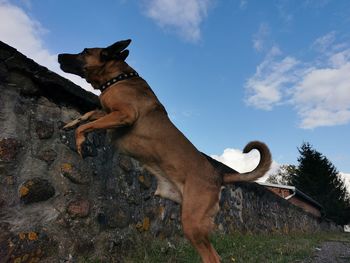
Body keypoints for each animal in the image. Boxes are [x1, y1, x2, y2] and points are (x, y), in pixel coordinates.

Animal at [57, 39, 272, 263]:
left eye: (85, 51)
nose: (58, 56)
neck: (119, 78)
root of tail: (219, 176)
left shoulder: (124, 114)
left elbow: (87, 125)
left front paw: (80, 141)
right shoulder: (108, 113)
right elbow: (89, 115)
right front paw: (72, 123)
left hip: (192, 223)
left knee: (211, 257)